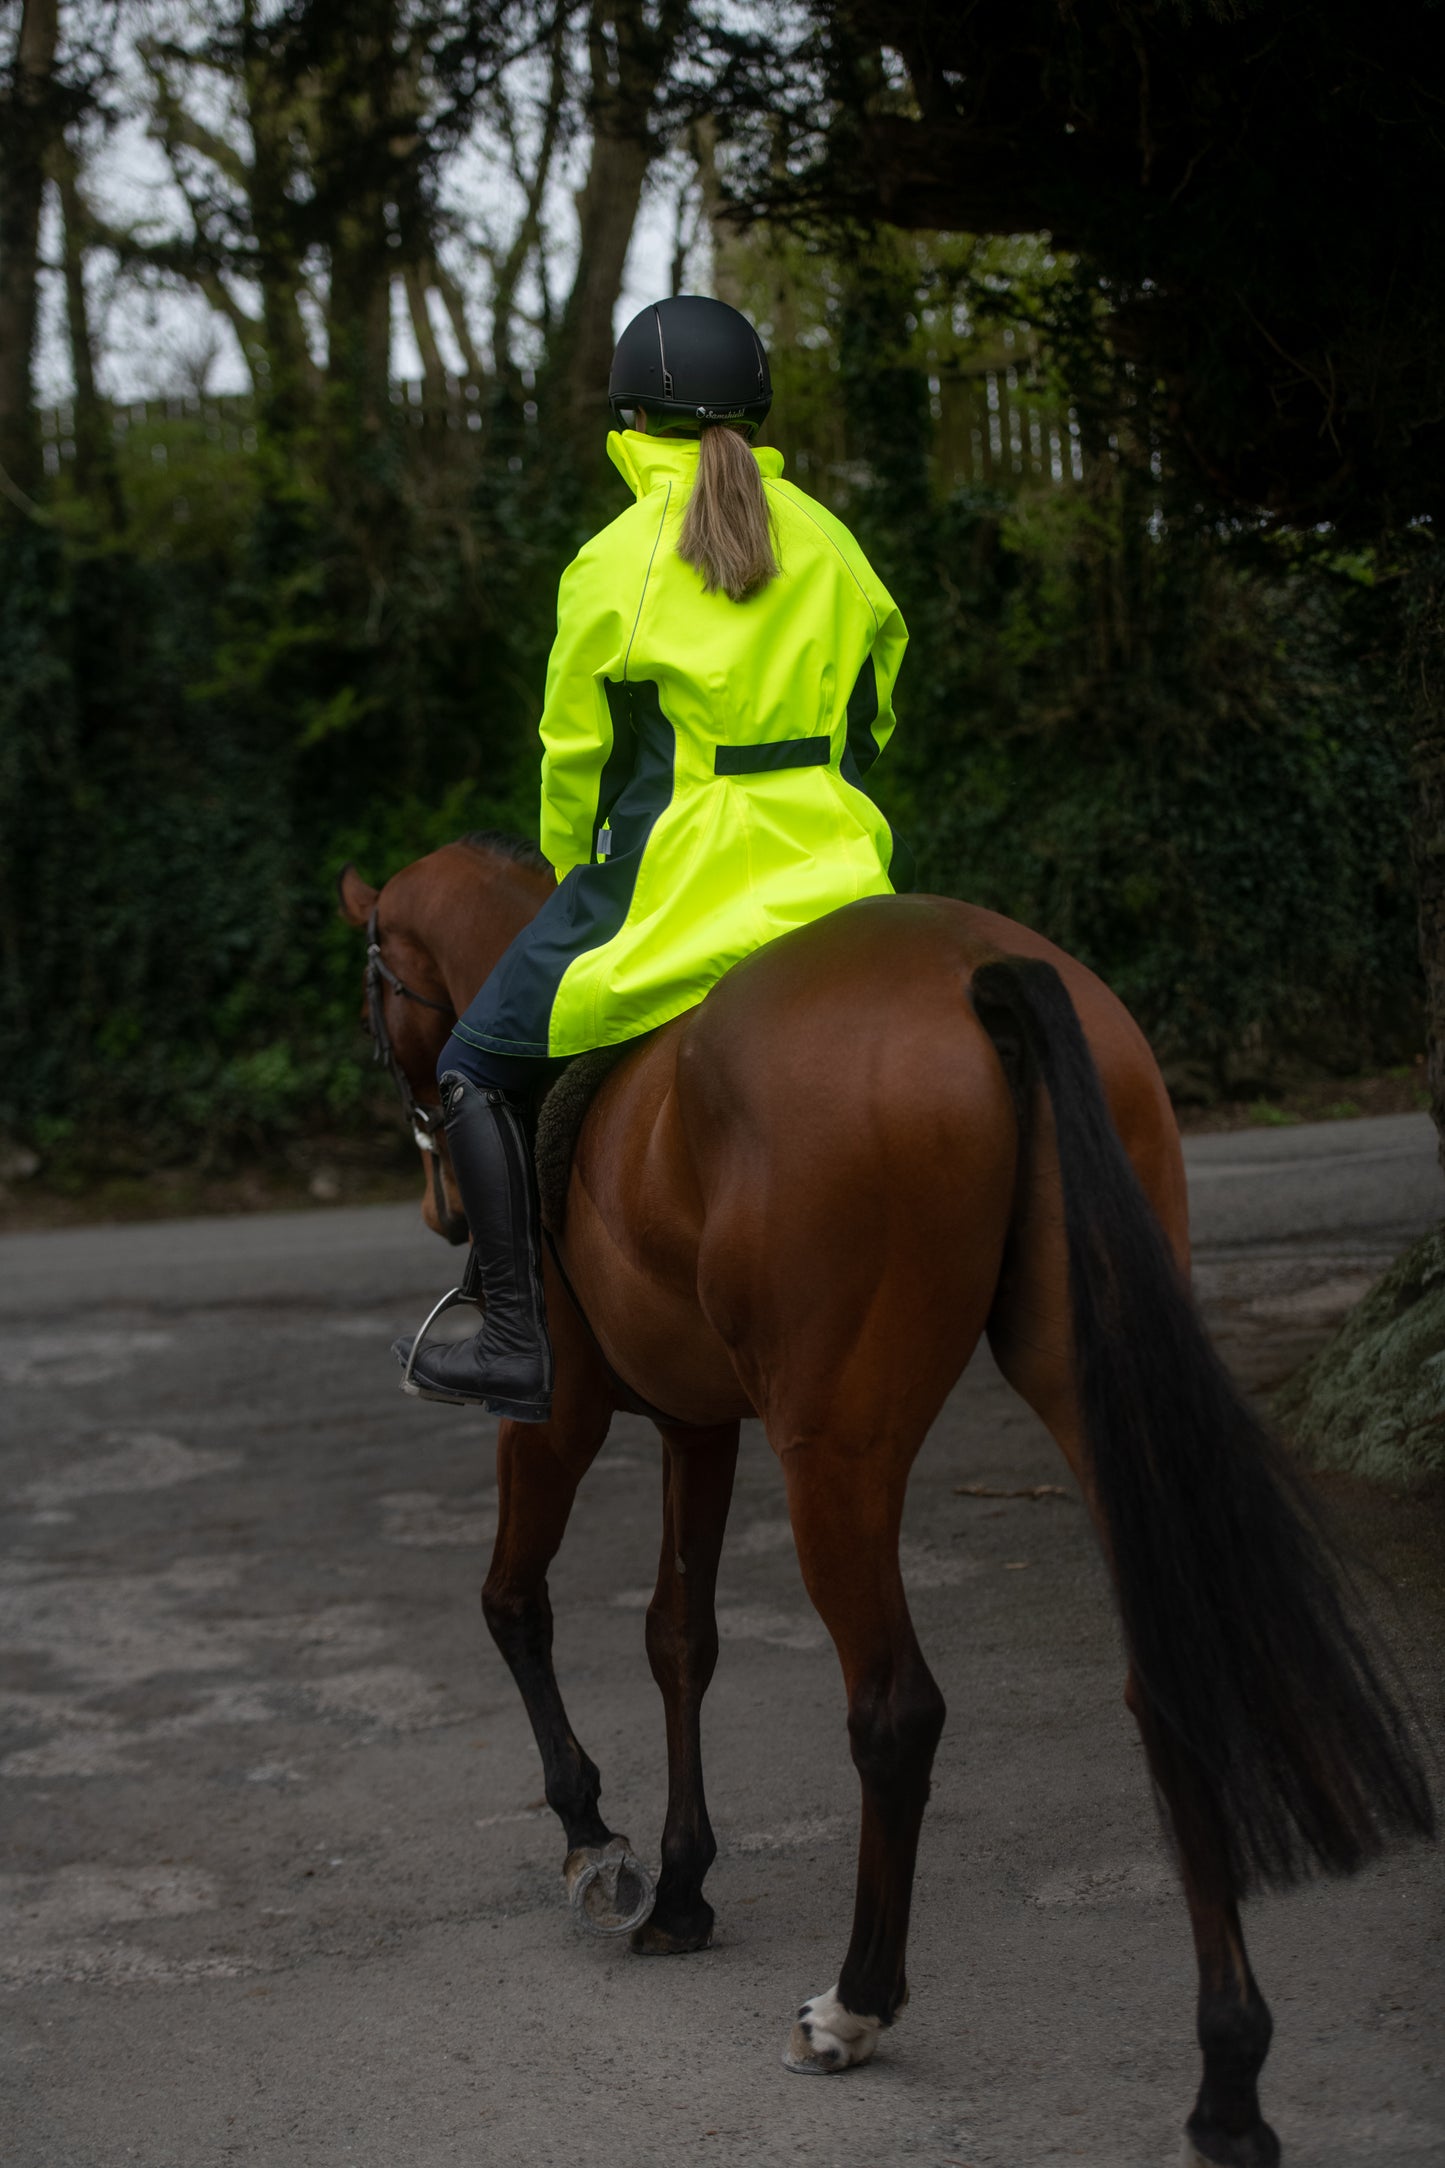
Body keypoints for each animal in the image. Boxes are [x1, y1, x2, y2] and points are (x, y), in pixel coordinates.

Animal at [340, 828, 1438, 2168]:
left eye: (373, 990)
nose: (439, 1203)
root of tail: (975, 968)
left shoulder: (561, 1413)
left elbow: (514, 1604)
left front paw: (596, 1842)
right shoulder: (698, 1425)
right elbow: (678, 1639)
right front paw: (682, 1885)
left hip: (837, 1452)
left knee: (894, 1707)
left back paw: (854, 2003)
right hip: (1087, 1392)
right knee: (1162, 1681)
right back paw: (1226, 2085)